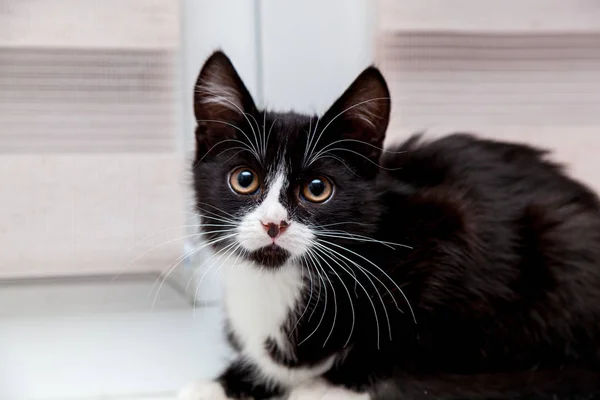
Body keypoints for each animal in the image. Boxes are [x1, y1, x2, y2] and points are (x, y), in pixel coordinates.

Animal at [180, 50, 600, 400]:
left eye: (317, 189)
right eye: (244, 179)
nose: (273, 224)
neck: (280, 282)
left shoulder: (451, 227)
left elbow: (410, 339)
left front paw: (328, 387)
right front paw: (218, 385)